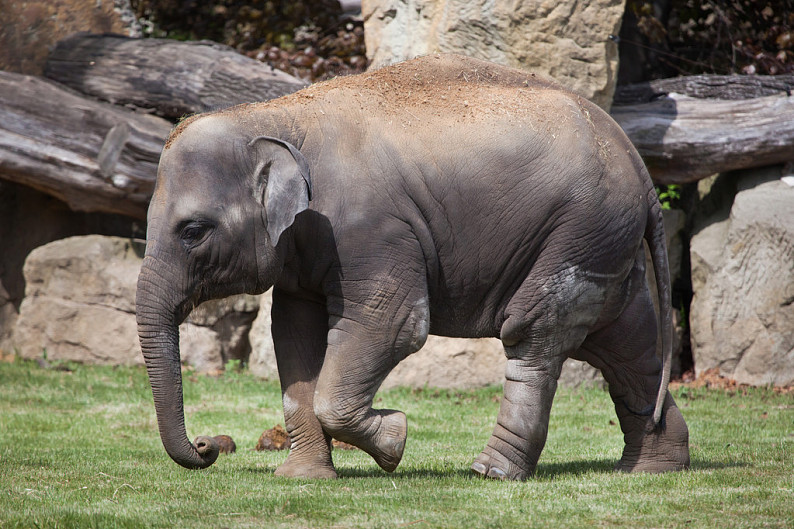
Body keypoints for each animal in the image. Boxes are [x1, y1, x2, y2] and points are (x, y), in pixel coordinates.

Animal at [135, 52, 688, 478]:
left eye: (193, 231)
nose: (207, 446)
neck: (275, 117)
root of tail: (636, 161)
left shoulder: (373, 229)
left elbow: (393, 324)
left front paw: (395, 440)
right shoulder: (305, 248)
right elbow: (294, 333)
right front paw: (302, 477)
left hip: (580, 228)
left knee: (534, 333)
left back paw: (491, 472)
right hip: (604, 241)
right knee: (626, 341)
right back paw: (653, 468)